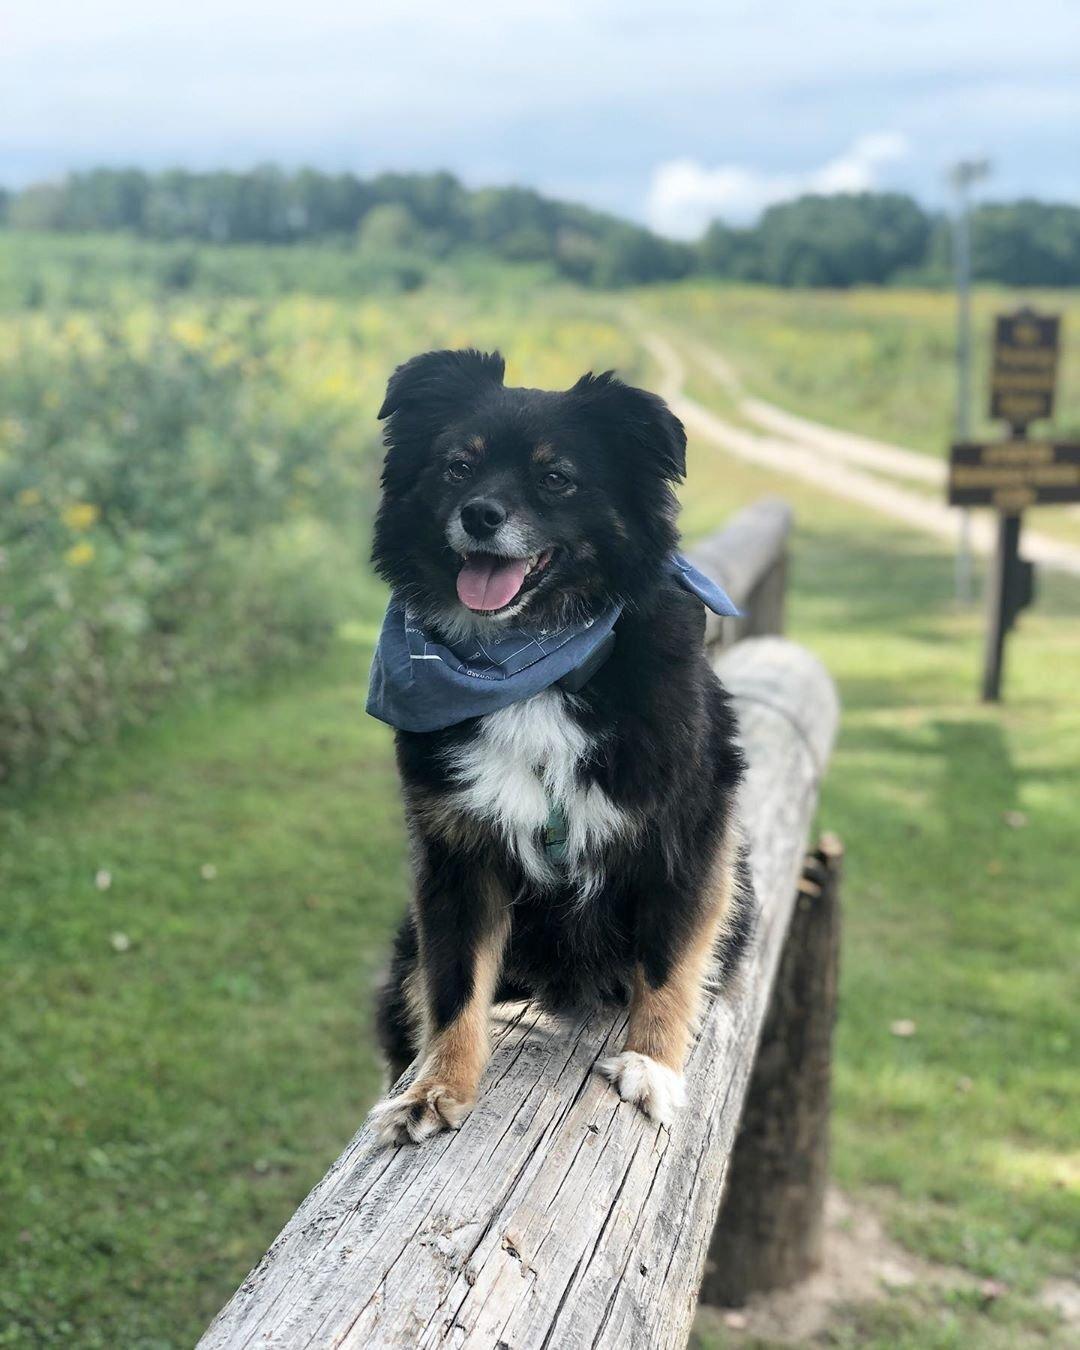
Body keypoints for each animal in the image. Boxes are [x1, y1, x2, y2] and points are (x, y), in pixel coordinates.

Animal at [361, 345, 750, 1139]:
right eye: (457, 466)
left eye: (555, 477)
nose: (480, 514)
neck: (529, 668)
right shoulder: (458, 851)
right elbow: (454, 983)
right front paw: (438, 1086)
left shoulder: (689, 832)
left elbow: (669, 961)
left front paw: (652, 1065)